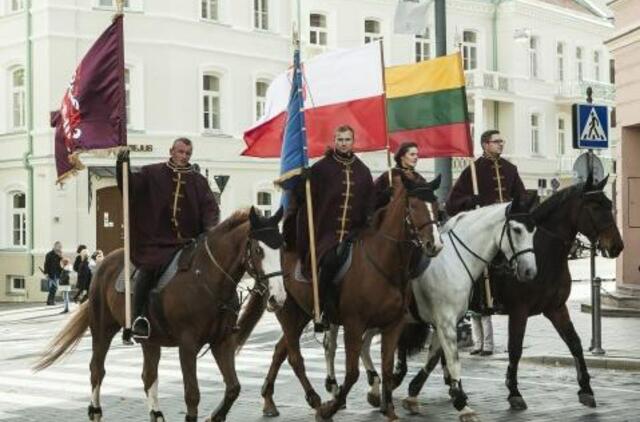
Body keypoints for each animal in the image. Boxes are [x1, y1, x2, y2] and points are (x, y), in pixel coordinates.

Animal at [35, 207, 284, 422]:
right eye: (259, 250)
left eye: (282, 248)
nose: (277, 298)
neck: (207, 277)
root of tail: (104, 263)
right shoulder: (188, 345)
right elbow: (192, 394)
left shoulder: (222, 342)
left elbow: (233, 387)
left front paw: (215, 416)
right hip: (102, 328)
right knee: (97, 369)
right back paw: (95, 411)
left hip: (150, 340)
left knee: (148, 376)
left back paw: (155, 414)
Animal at [258, 173, 440, 420]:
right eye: (413, 206)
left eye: (436, 206)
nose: (434, 244)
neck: (384, 263)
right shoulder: (354, 325)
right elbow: (353, 373)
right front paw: (331, 408)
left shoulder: (393, 325)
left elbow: (387, 368)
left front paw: (390, 411)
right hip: (286, 311)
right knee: (295, 357)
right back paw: (315, 400)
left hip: (302, 313)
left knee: (279, 350)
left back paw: (269, 400)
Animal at [322, 199, 536, 422]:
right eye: (517, 229)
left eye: (534, 230)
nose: (529, 271)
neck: (455, 261)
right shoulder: (445, 322)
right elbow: (452, 361)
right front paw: (463, 406)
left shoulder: (446, 322)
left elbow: (434, 357)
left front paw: (413, 395)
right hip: (342, 317)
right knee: (331, 345)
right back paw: (334, 388)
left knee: (364, 345)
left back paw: (374, 388)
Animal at [392, 173, 624, 414]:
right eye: (595, 207)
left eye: (609, 204)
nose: (617, 246)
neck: (543, 255)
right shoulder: (518, 310)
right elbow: (515, 349)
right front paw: (514, 392)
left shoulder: (555, 308)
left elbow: (574, 343)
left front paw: (586, 389)